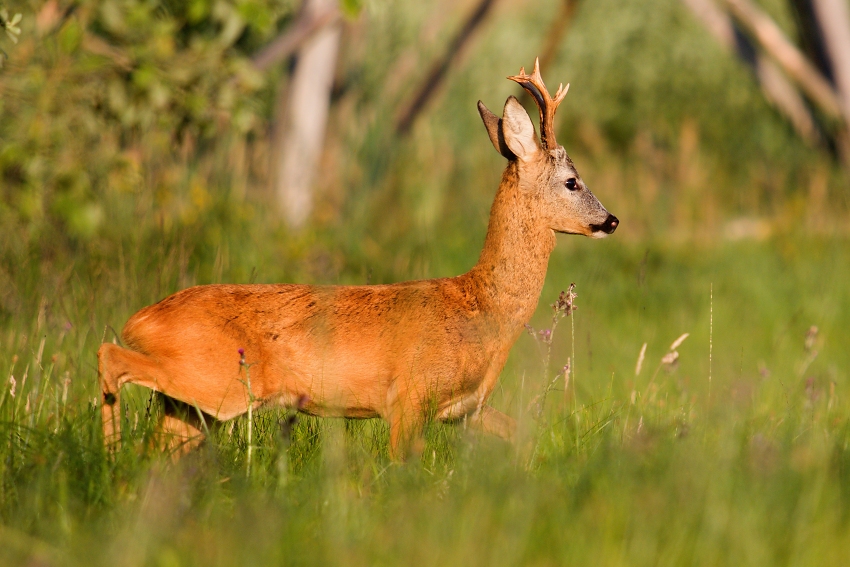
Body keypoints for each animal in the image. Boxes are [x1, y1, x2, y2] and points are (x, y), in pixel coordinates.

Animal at [97, 58, 618, 460]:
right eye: (572, 181)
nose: (611, 220)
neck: (481, 312)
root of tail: (140, 320)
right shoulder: (410, 396)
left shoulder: (467, 410)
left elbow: (525, 437)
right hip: (214, 380)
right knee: (108, 356)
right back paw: (109, 459)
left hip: (194, 406)